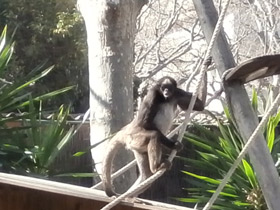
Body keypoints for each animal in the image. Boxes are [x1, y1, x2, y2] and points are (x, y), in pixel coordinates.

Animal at [102, 57, 210, 197]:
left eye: (169, 88)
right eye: (163, 88)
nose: (166, 91)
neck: (166, 99)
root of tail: (128, 129)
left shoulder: (177, 93)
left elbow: (200, 106)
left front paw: (206, 63)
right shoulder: (153, 94)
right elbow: (145, 123)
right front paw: (173, 145)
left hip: (138, 147)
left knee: (146, 175)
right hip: (135, 137)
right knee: (155, 135)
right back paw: (156, 167)